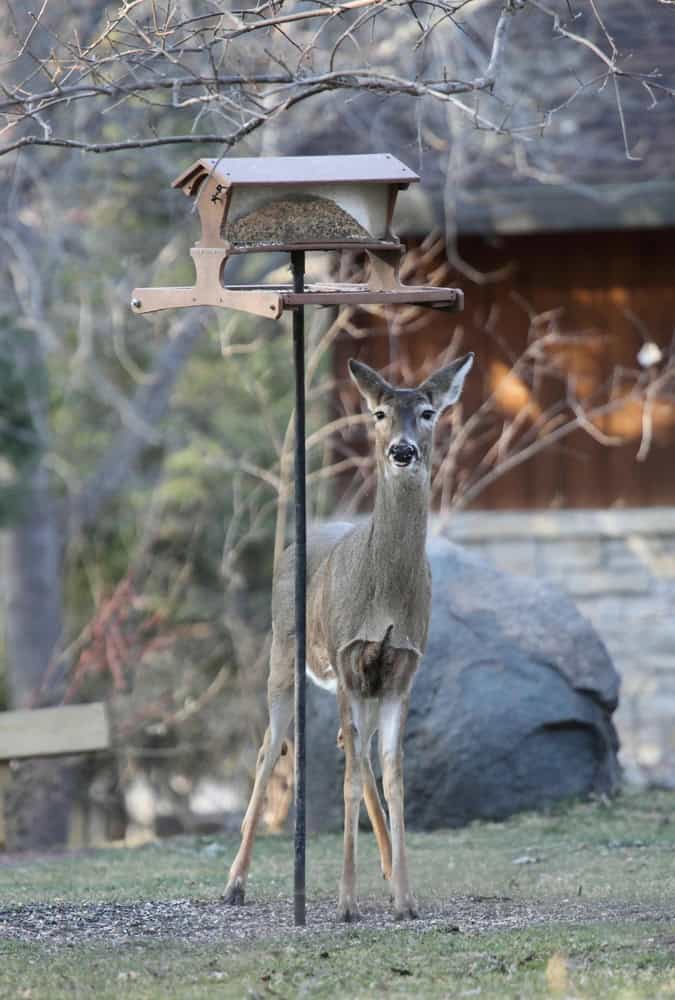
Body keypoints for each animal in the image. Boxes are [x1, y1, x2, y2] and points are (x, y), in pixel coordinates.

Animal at [223, 351, 474, 921]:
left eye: (428, 412)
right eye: (378, 413)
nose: (401, 450)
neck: (383, 600)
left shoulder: (402, 667)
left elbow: (393, 772)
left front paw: (404, 898)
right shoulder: (345, 655)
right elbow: (348, 779)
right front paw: (345, 902)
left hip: (357, 682)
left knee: (353, 749)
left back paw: (384, 865)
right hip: (284, 654)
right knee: (269, 749)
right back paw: (234, 883)